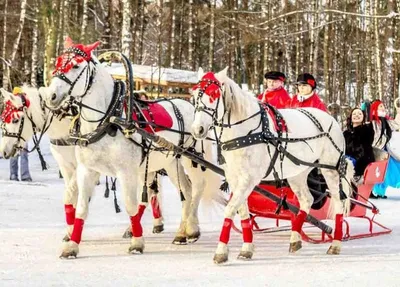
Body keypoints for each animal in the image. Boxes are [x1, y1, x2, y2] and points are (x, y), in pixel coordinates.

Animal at [41, 38, 219, 258]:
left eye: (75, 65)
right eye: (57, 63)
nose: (51, 96)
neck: (109, 119)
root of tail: (189, 106)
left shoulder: (126, 171)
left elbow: (130, 205)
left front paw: (137, 242)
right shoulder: (86, 169)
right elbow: (81, 206)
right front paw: (72, 245)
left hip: (189, 157)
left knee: (197, 187)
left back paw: (191, 229)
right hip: (170, 162)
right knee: (185, 190)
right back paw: (181, 233)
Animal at [192, 68, 352, 264]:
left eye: (213, 95)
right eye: (194, 95)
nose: (197, 129)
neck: (245, 132)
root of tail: (333, 120)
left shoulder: (248, 179)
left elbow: (230, 209)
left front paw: (221, 251)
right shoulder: (235, 177)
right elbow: (242, 211)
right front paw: (247, 248)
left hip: (330, 169)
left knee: (338, 202)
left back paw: (335, 244)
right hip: (297, 173)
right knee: (307, 200)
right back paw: (295, 239)